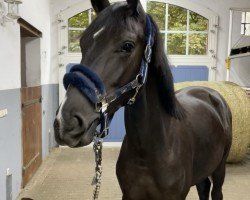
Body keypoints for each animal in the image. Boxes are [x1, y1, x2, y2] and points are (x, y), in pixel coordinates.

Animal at [53, 0, 231, 199]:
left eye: (127, 46)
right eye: (83, 43)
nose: (65, 122)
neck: (149, 152)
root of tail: (211, 94)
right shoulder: (130, 194)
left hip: (220, 168)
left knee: (216, 191)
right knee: (203, 187)